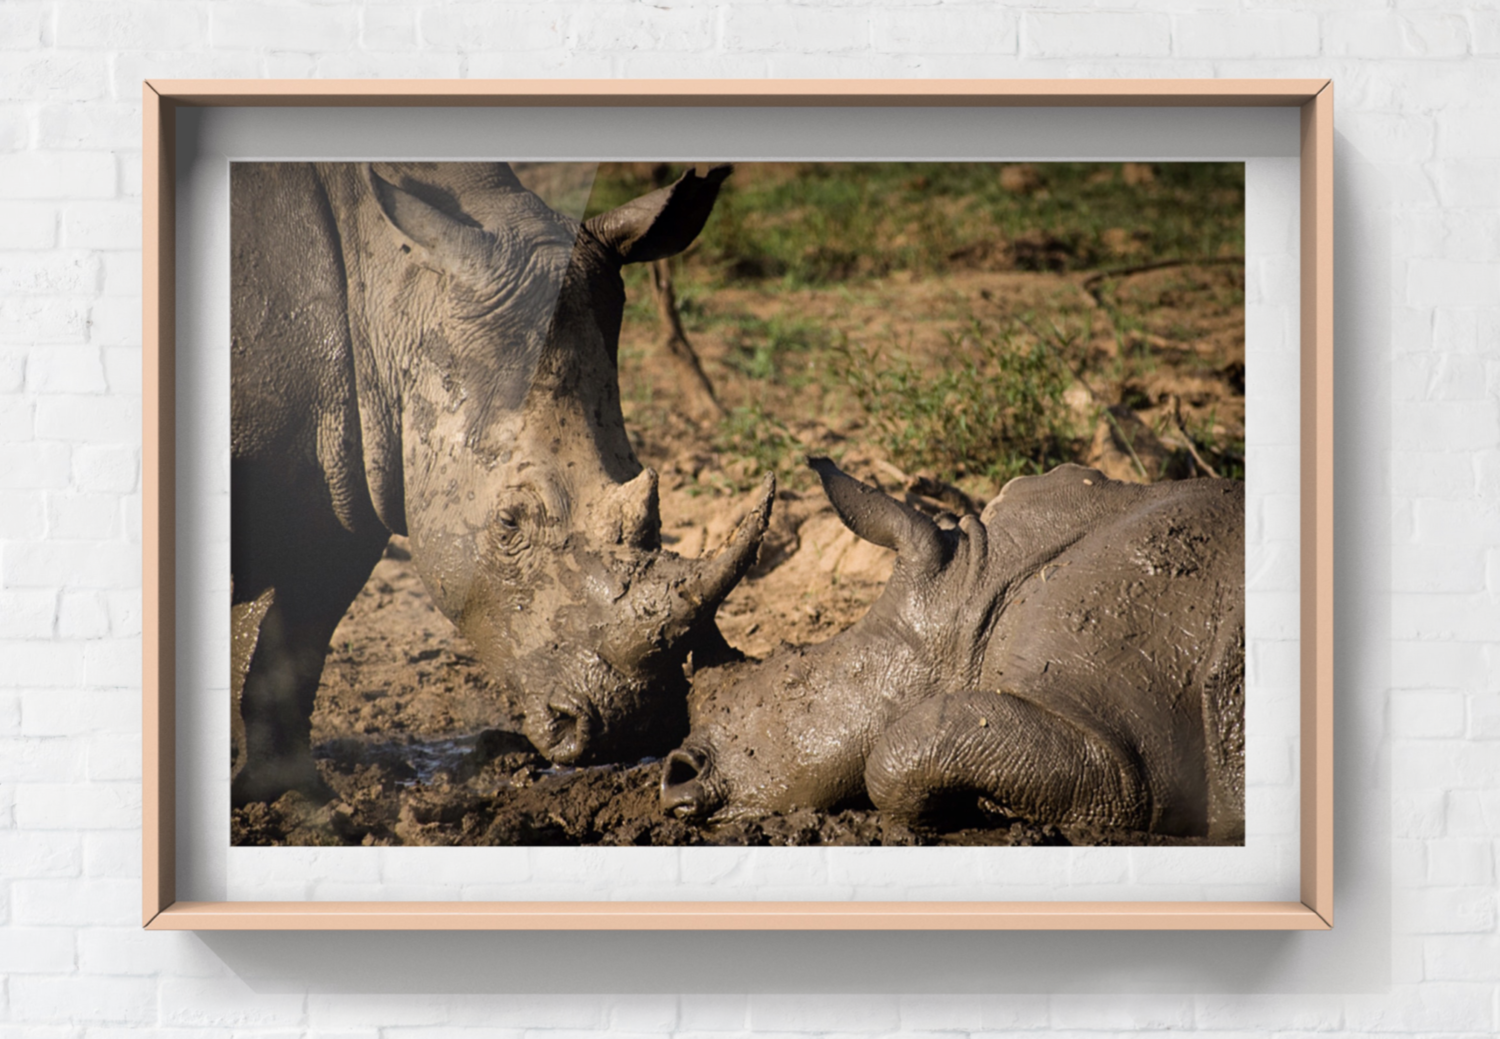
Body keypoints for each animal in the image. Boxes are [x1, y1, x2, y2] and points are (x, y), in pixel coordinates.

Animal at [230, 161, 771, 806]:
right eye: (510, 522)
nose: (631, 727)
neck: (391, 292)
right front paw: (283, 803)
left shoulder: (353, 488)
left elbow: (298, 638)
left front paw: (291, 796)